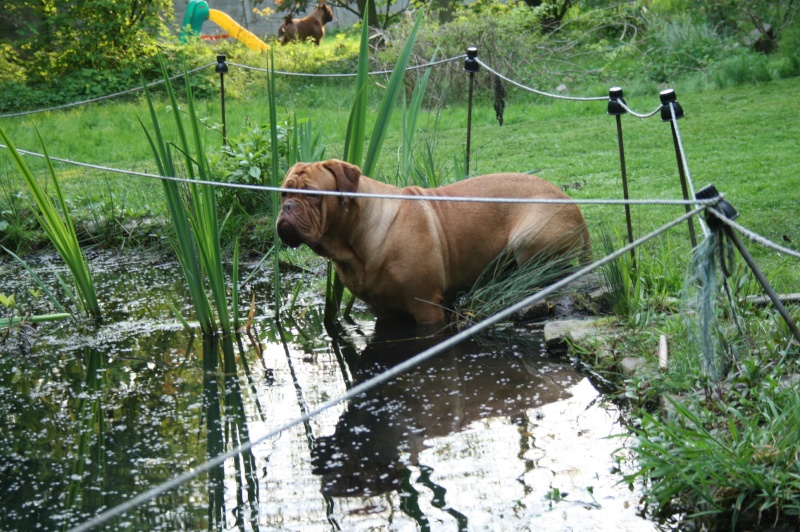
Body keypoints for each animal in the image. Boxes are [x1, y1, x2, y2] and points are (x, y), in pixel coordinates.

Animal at [276, 159, 592, 324]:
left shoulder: (425, 305)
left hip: (529, 236)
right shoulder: (383, 310)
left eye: (312, 195)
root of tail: (572, 205)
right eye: (283, 193)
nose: (287, 207)